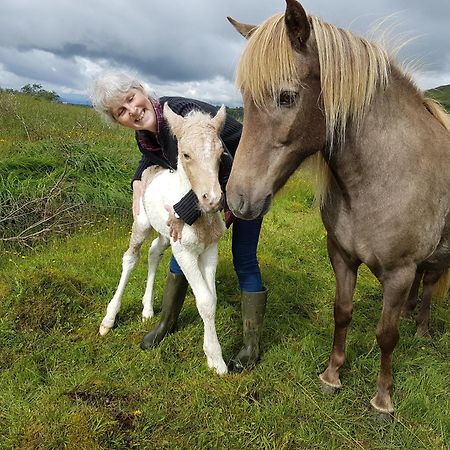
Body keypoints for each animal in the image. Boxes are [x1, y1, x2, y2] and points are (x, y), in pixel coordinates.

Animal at [229, 0, 450, 414]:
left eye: (286, 97)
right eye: (246, 100)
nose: (237, 200)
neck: (384, 175)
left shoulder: (398, 271)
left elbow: (386, 334)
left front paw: (383, 398)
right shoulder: (342, 256)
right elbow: (342, 313)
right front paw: (332, 375)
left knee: (429, 283)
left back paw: (422, 330)